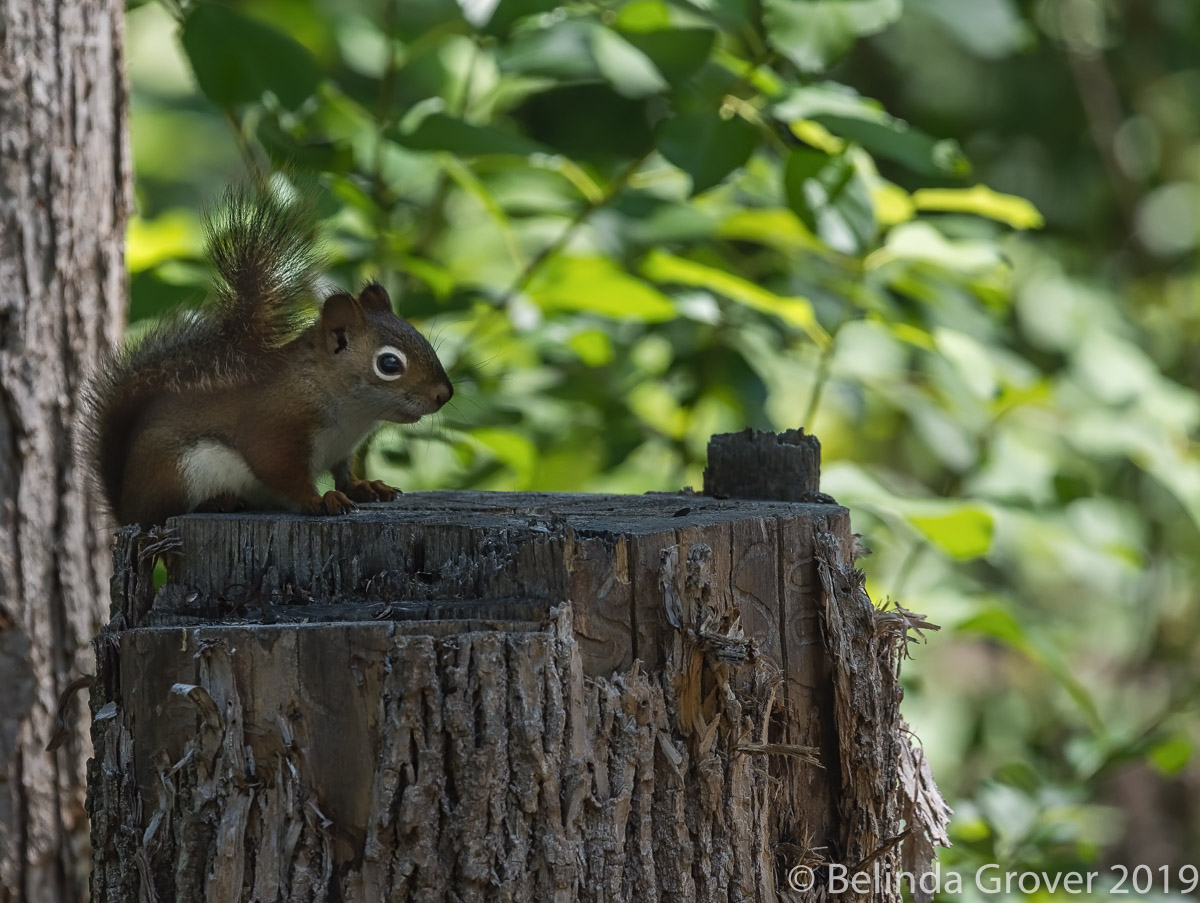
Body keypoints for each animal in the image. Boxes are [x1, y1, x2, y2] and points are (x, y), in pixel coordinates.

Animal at [85, 183, 453, 527]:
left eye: (420, 336)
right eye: (389, 363)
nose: (444, 395)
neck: (353, 414)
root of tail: (126, 509)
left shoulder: (342, 449)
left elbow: (344, 474)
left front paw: (367, 487)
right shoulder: (274, 429)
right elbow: (282, 473)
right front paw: (321, 500)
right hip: (177, 475)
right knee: (164, 513)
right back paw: (216, 502)